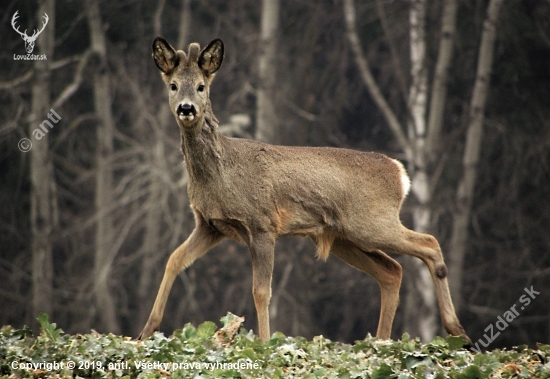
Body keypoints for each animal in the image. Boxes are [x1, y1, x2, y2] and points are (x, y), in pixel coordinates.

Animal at [140, 36, 472, 344]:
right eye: (173, 85)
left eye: (200, 86)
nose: (186, 108)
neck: (222, 176)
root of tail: (399, 172)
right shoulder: (210, 225)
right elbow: (174, 259)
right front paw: (147, 330)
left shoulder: (262, 224)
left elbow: (261, 291)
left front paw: (265, 343)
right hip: (344, 237)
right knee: (392, 271)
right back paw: (384, 341)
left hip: (371, 223)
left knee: (429, 243)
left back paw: (457, 331)